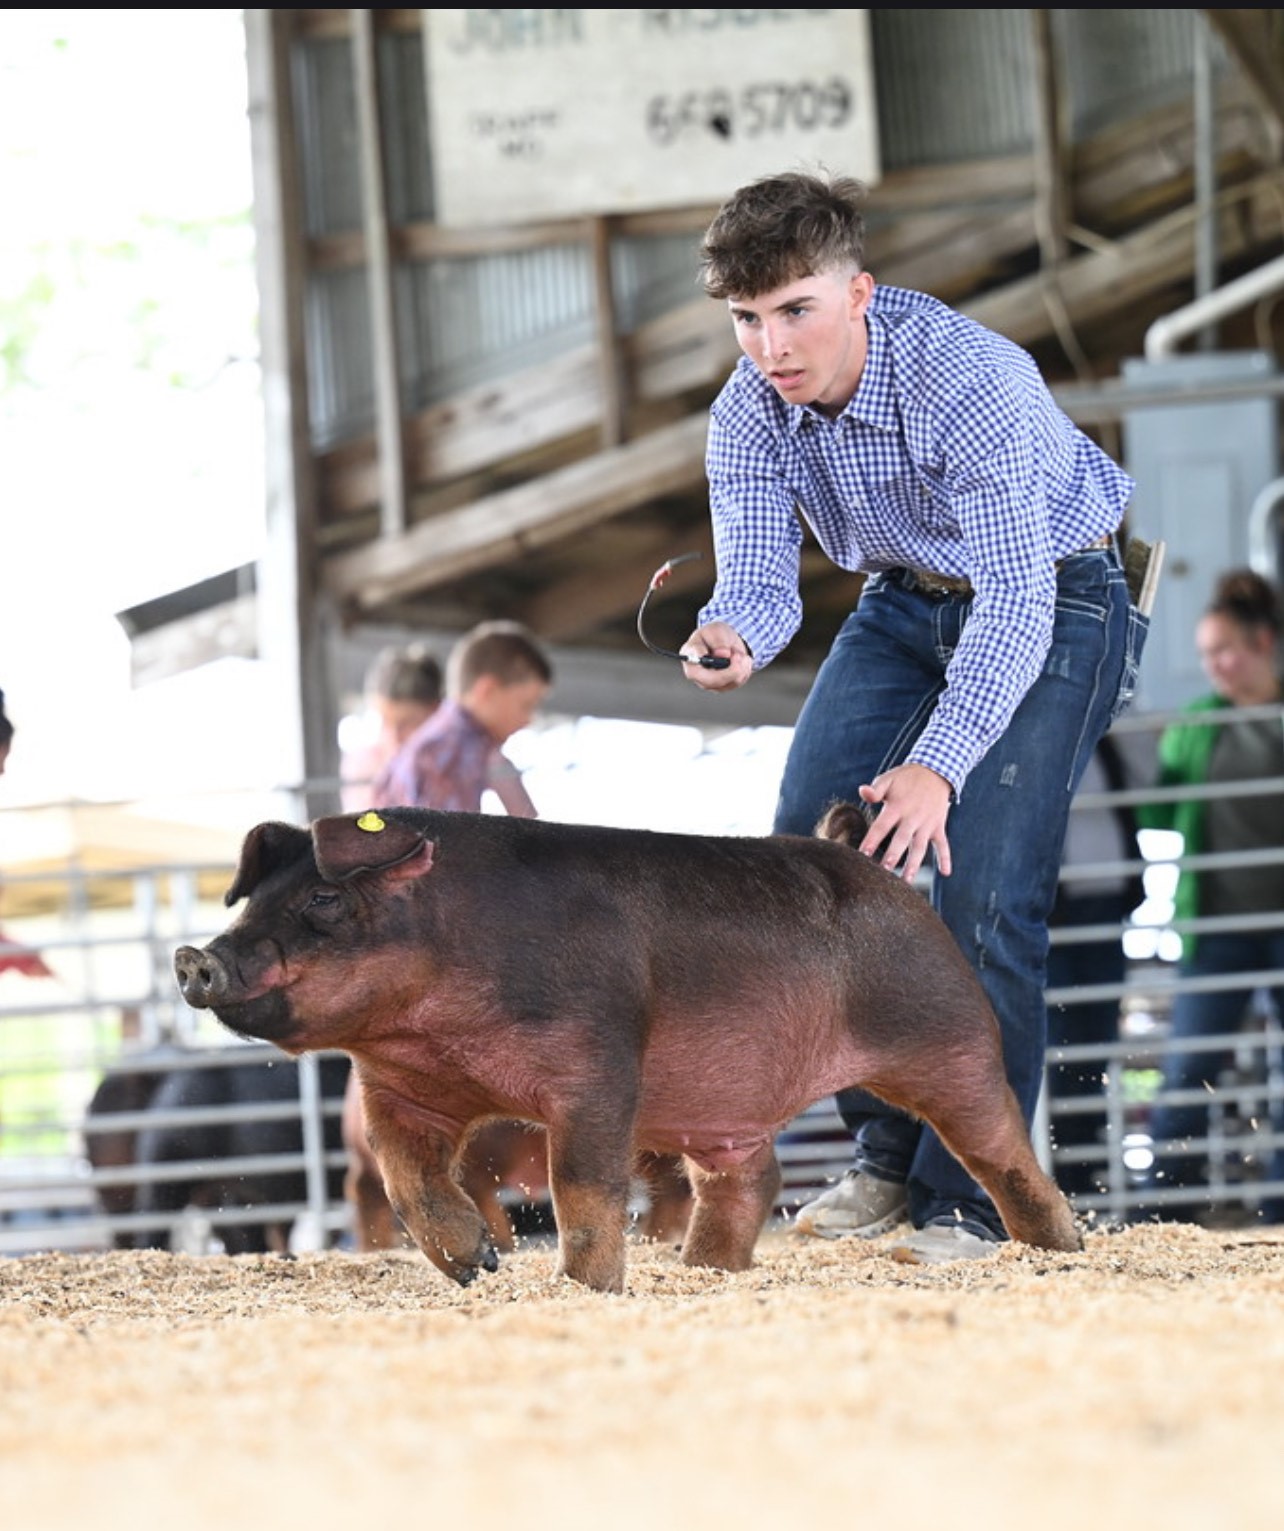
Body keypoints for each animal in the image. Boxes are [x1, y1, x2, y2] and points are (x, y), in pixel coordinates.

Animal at [173, 804, 1080, 1293]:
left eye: (325, 899)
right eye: (250, 898)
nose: (194, 956)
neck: (436, 1023)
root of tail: (868, 860)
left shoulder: (597, 1062)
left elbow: (583, 1186)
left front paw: (582, 1288)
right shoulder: (401, 1087)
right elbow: (409, 1185)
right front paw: (481, 1269)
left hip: (949, 1033)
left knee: (1001, 1149)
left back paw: (1061, 1248)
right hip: (719, 1107)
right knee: (750, 1175)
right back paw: (705, 1268)